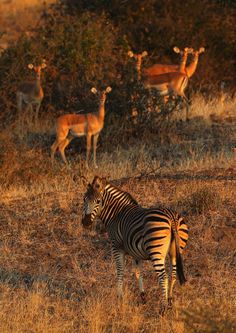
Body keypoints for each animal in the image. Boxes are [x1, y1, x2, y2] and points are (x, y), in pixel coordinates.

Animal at [82, 175, 189, 312]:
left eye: (98, 201)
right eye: (84, 199)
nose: (85, 222)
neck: (116, 214)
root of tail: (172, 218)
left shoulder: (116, 247)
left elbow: (120, 271)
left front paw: (119, 298)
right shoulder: (136, 252)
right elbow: (138, 273)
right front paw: (143, 297)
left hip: (156, 251)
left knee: (163, 277)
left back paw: (163, 308)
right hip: (175, 251)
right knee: (173, 274)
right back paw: (169, 301)